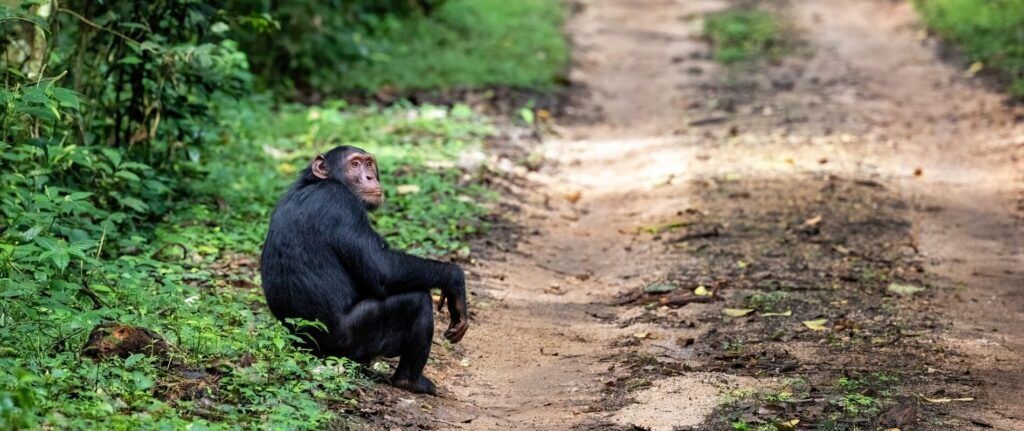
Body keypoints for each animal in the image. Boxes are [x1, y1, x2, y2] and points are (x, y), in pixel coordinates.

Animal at [260, 144, 468, 393]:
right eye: (354, 164)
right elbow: (383, 269)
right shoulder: (341, 204)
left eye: (369, 164)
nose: (369, 176)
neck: (321, 182)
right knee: (415, 300)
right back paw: (410, 381)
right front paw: (455, 281)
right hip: (350, 343)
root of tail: (304, 347)